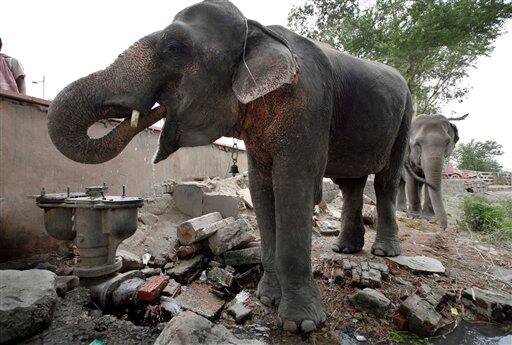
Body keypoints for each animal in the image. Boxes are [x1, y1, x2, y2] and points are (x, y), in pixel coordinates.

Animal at [47, 0, 412, 334]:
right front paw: (267, 299)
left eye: (174, 48)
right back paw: (345, 248)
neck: (257, 29)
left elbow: (292, 186)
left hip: (406, 115)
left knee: (385, 181)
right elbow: (262, 190)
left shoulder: (308, 103)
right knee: (352, 184)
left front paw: (302, 324)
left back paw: (384, 251)